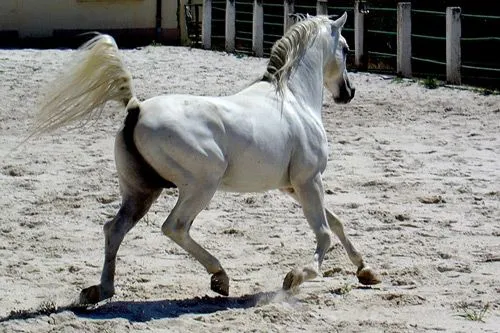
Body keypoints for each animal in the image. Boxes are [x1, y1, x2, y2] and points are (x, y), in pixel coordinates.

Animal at [31, 13, 378, 304]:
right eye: (346, 48)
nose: (348, 92)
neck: (293, 100)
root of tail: (136, 108)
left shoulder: (294, 186)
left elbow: (336, 223)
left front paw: (366, 271)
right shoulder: (309, 181)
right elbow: (325, 234)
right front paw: (296, 277)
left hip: (141, 191)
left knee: (114, 229)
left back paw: (101, 289)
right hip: (201, 186)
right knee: (175, 227)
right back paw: (219, 277)